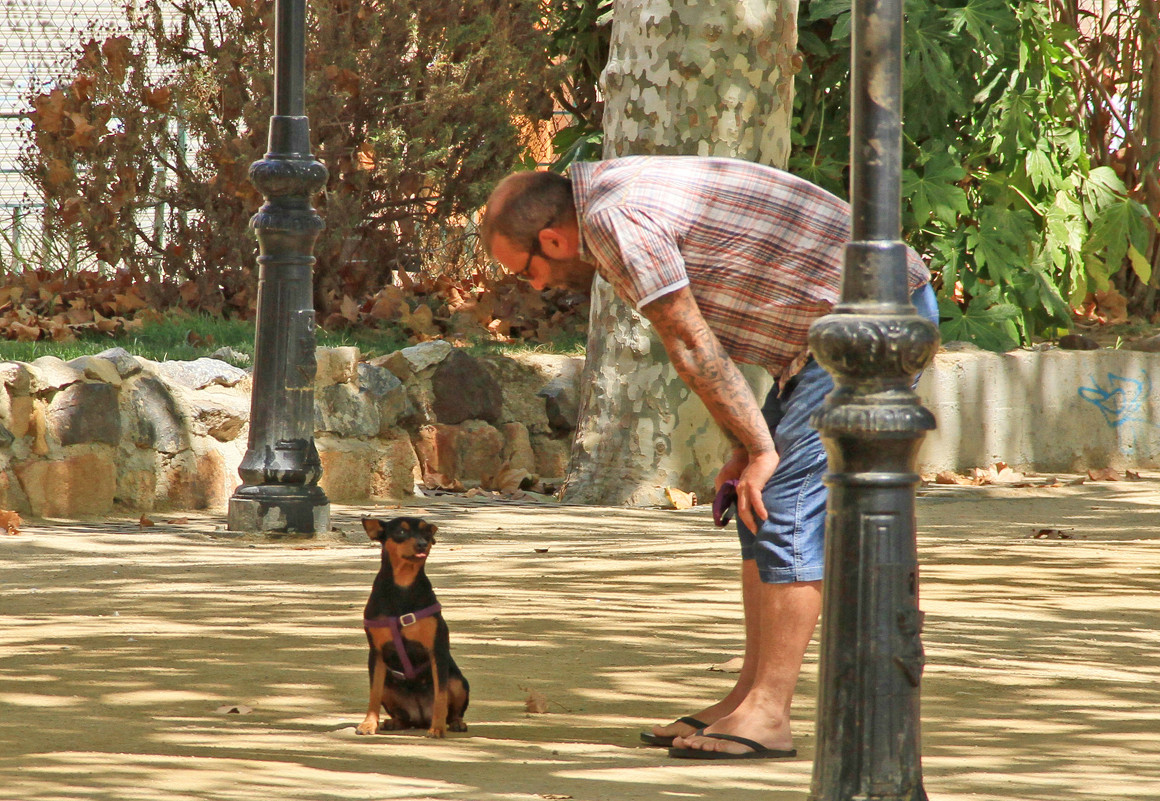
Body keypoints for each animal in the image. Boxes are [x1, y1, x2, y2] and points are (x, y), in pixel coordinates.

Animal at [352, 516, 466, 737]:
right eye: (401, 532)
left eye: (427, 533)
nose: (422, 543)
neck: (403, 584)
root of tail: (420, 718)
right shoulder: (377, 652)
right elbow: (373, 694)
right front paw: (369, 723)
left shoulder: (437, 651)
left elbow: (441, 696)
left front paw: (437, 728)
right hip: (389, 685)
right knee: (401, 715)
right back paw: (394, 722)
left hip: (458, 682)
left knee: (453, 710)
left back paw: (455, 723)